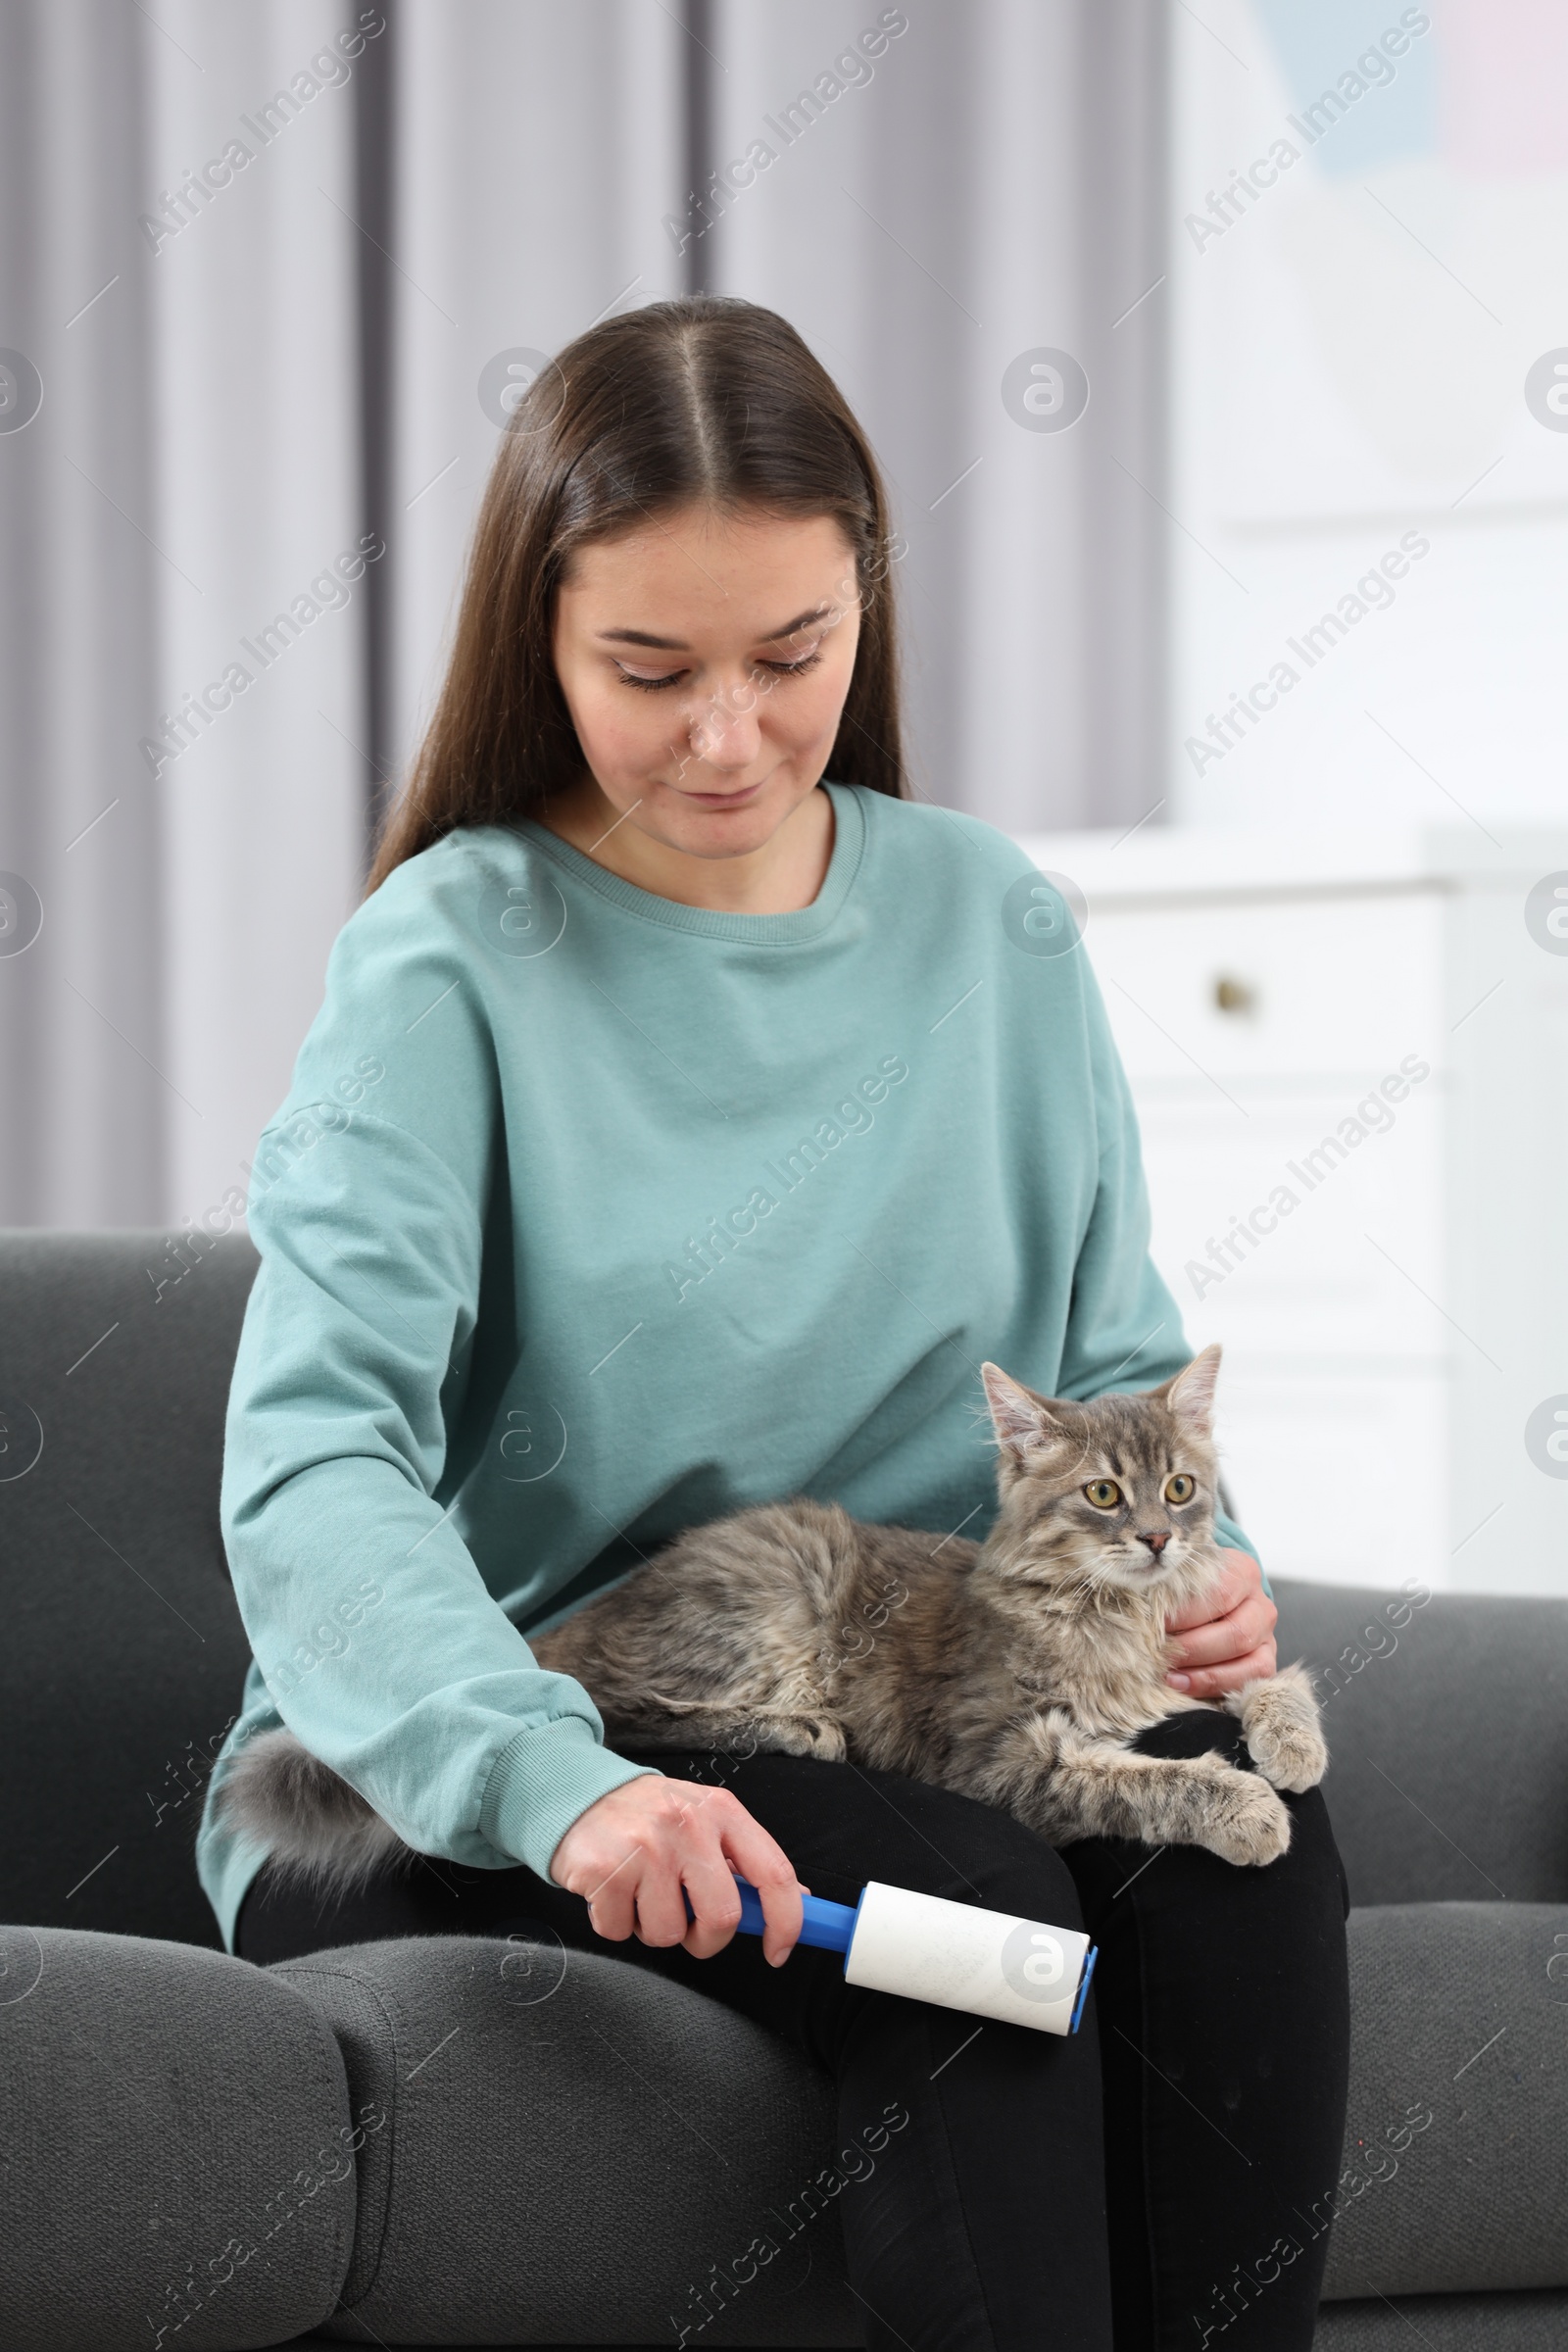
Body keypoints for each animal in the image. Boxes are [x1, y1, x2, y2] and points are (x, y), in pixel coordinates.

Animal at [220, 1345, 1325, 1890]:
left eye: (1179, 1487)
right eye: (1102, 1495)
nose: (1159, 1540)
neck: (1115, 1616)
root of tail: (573, 1621)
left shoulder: (1184, 1668)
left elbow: (1275, 1676)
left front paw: (1293, 1747)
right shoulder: (1003, 1756)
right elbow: (1149, 1780)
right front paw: (1248, 1808)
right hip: (775, 1603)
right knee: (618, 1712)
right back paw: (800, 1728)